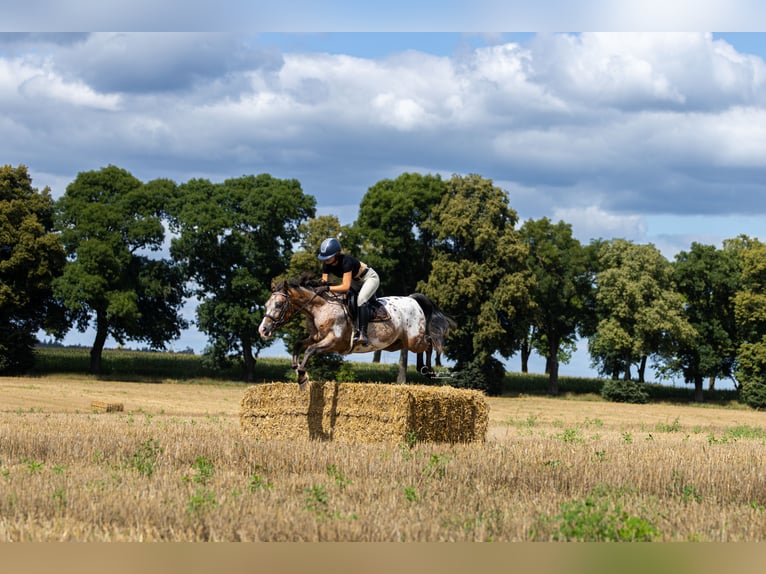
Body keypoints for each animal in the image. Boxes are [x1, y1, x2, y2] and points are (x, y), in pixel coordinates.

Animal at [258, 275, 454, 389]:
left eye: (279, 304)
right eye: (266, 304)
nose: (263, 330)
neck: (321, 307)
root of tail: (413, 300)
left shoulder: (334, 342)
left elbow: (310, 350)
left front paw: (302, 376)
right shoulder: (317, 337)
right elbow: (299, 344)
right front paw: (295, 366)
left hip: (414, 339)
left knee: (429, 343)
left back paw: (428, 370)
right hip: (399, 343)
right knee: (423, 346)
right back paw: (423, 368)